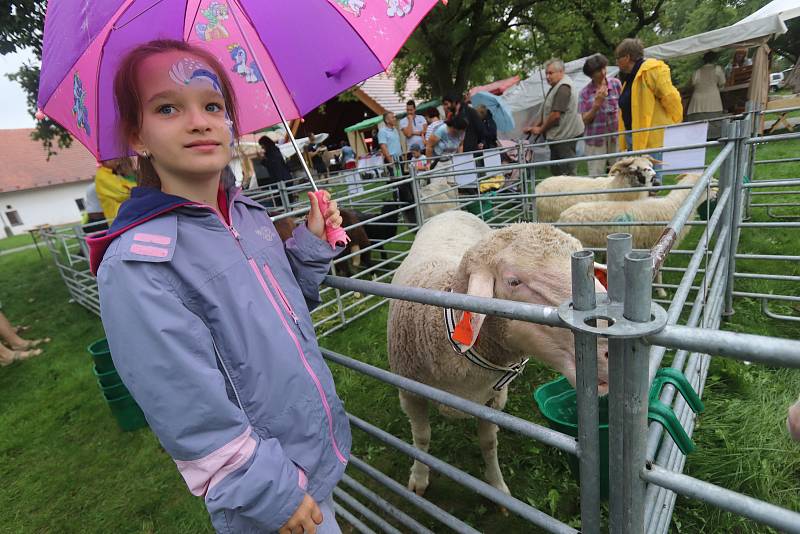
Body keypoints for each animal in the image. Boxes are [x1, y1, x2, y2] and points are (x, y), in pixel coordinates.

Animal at [388, 211, 608, 500]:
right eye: (513, 282)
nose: (609, 350)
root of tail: (452, 211)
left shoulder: (492, 399)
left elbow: (489, 442)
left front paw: (496, 485)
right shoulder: (410, 392)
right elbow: (422, 437)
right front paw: (419, 477)